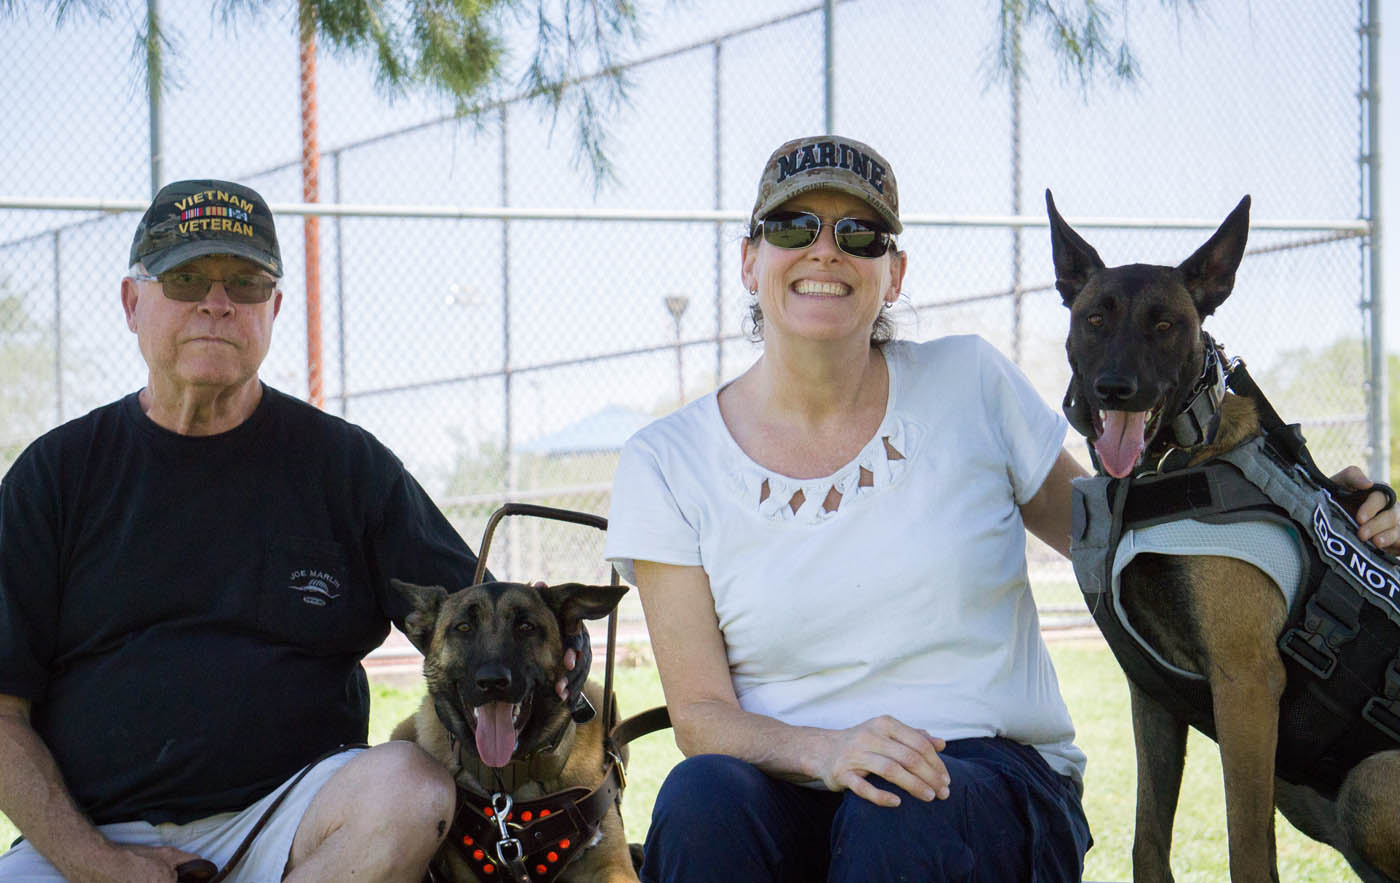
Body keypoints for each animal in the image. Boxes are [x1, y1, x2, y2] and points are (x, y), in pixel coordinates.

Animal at [1052, 194, 1400, 883]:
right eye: (1095, 318)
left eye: (1166, 325)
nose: (1114, 389)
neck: (1168, 466)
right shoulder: (1153, 697)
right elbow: (1148, 840)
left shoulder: (1245, 685)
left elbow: (1247, 852)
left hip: (1371, 781)